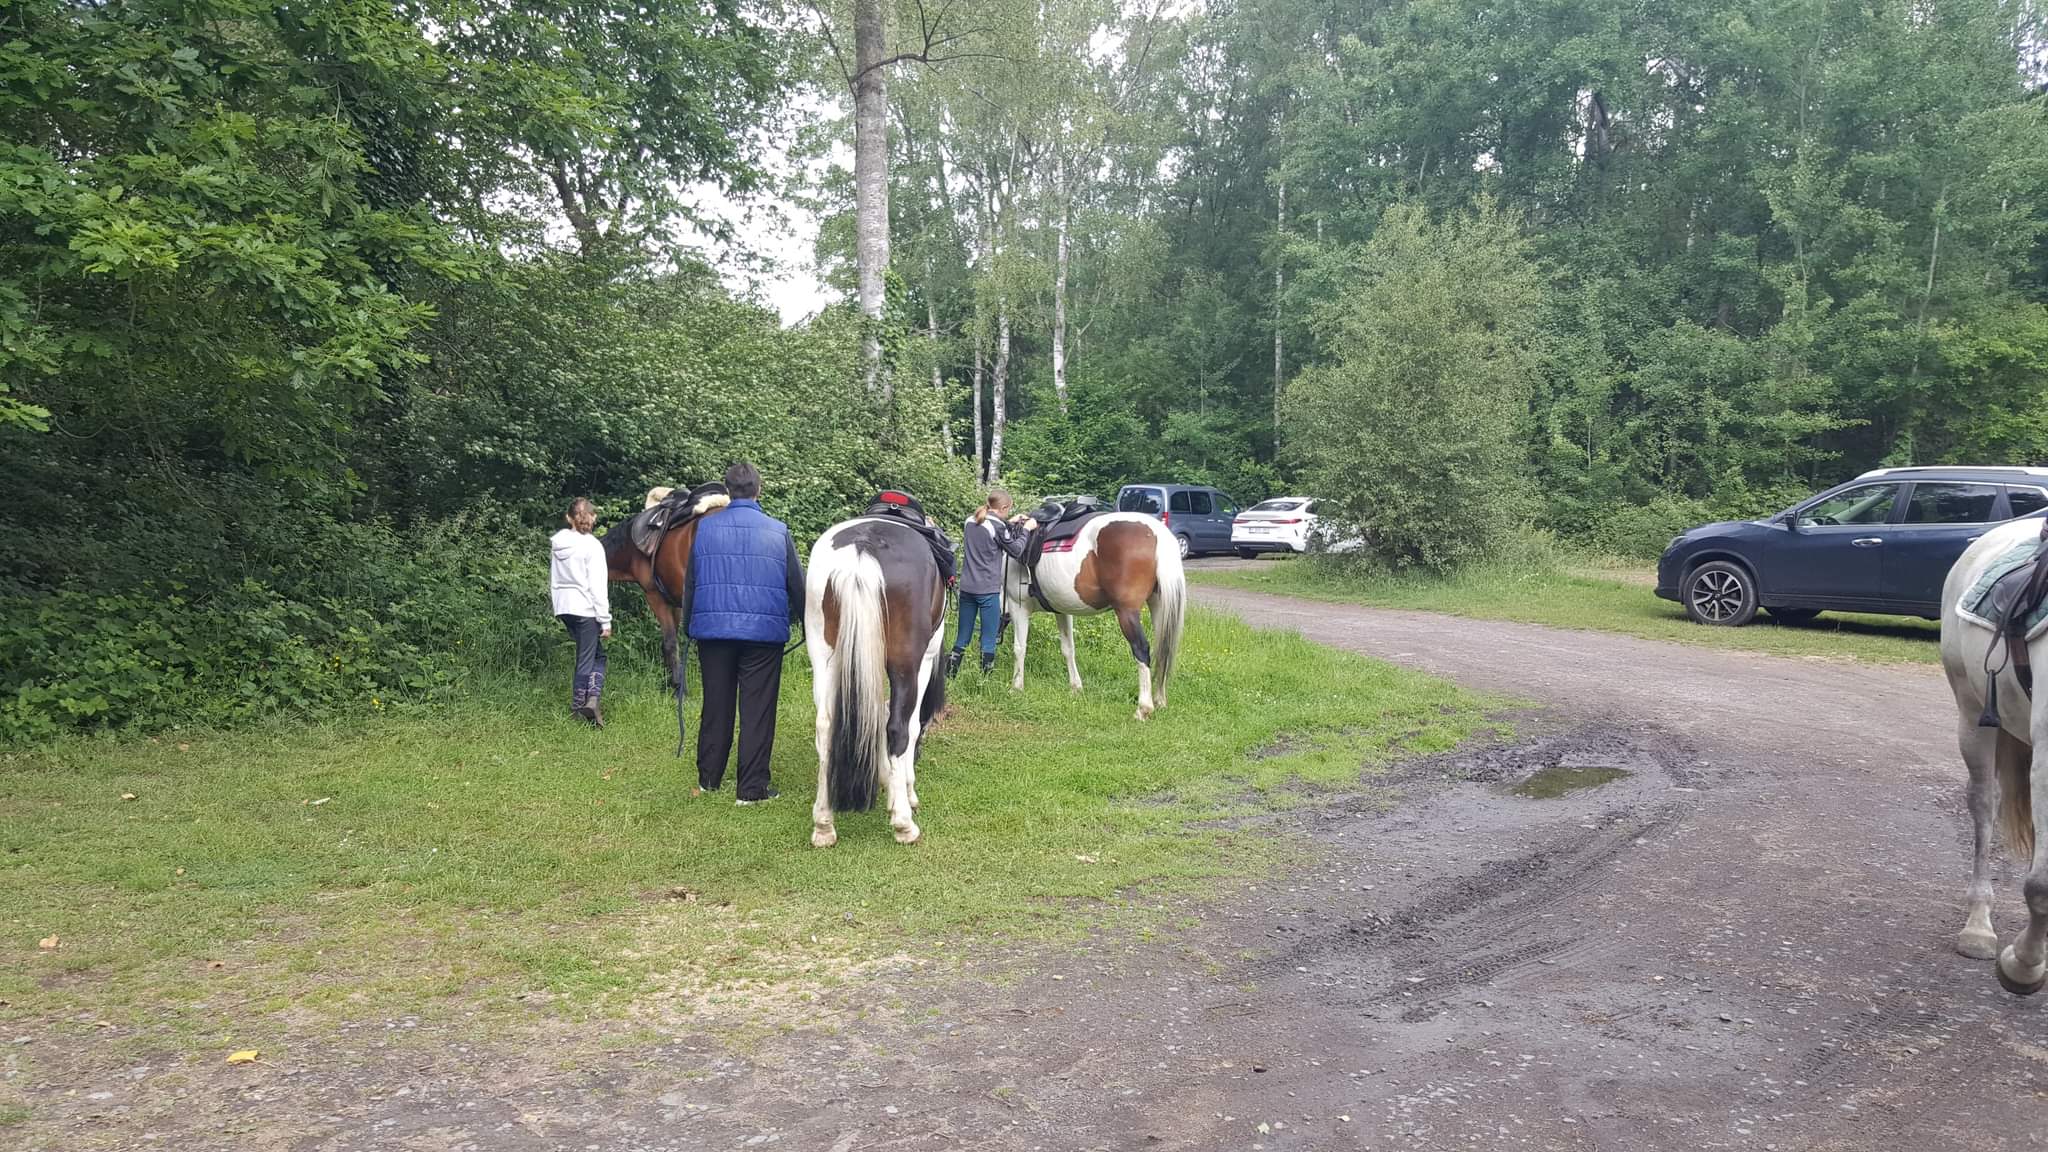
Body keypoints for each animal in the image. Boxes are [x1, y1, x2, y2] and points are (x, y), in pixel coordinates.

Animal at [804, 512, 949, 847]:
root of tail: (863, 548)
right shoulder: (924, 661)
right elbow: (907, 725)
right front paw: (905, 793)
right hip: (905, 663)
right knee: (898, 728)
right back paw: (904, 825)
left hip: (824, 656)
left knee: (825, 727)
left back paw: (823, 825)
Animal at [1002, 511, 1186, 720]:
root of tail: (1158, 534)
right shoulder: (1062, 611)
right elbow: (1068, 649)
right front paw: (1075, 688)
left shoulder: (1018, 607)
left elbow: (1019, 648)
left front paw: (1016, 688)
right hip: (1160, 607)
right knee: (1165, 649)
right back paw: (1160, 700)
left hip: (1127, 612)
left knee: (1142, 649)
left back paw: (1144, 708)